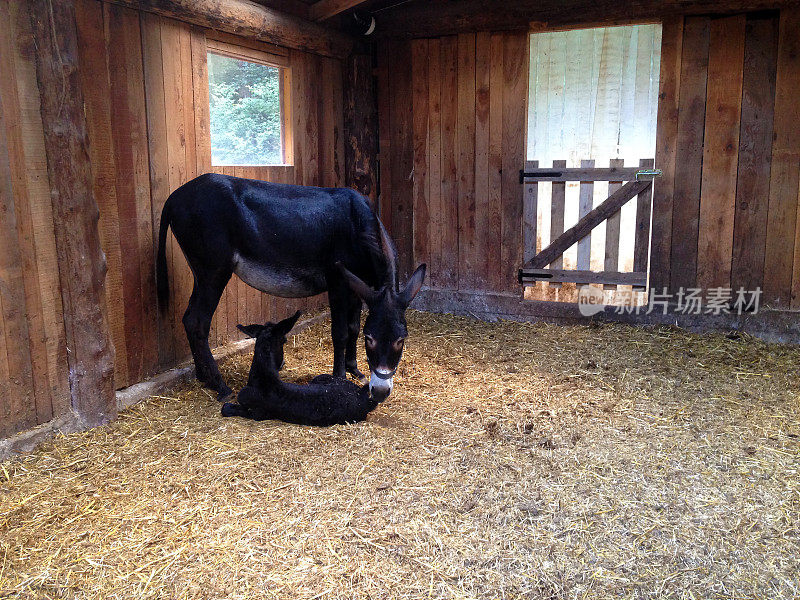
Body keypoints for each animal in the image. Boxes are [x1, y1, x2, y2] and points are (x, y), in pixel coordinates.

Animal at [219, 310, 382, 426]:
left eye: (284, 340)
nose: (282, 364)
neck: (264, 378)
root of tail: (363, 396)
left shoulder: (258, 413)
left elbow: (226, 408)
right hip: (321, 377)